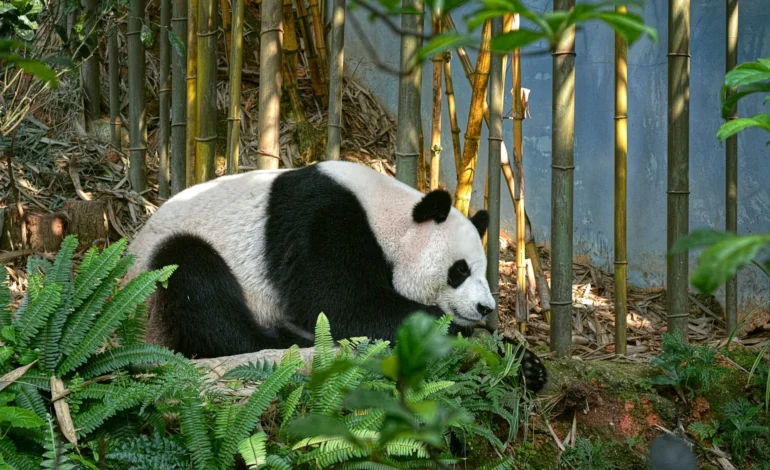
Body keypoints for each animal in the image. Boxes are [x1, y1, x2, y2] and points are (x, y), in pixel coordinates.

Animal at [125, 160, 548, 392]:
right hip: (154, 282)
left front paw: (526, 364)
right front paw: (456, 333)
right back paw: (286, 339)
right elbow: (341, 306)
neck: (388, 215)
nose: (484, 308)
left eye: (480, 271)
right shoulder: (323, 223)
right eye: (459, 271)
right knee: (195, 282)